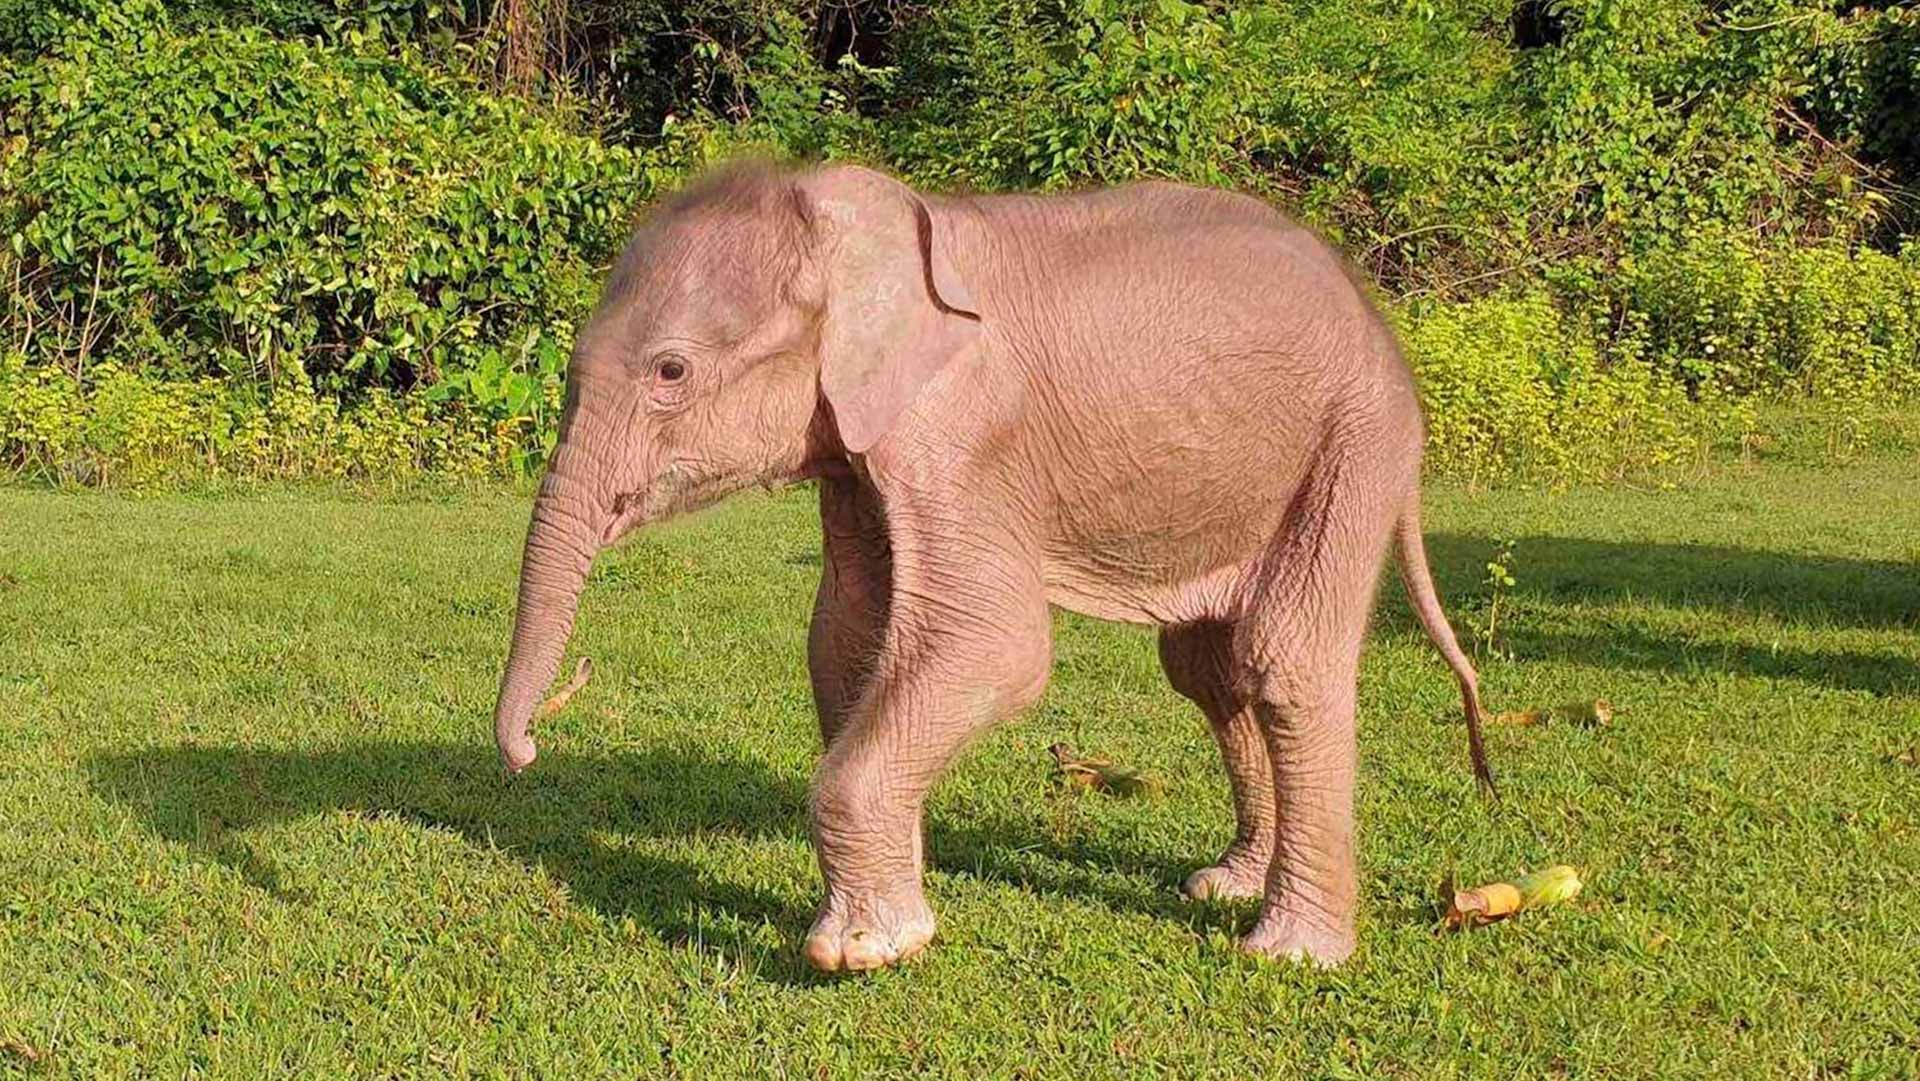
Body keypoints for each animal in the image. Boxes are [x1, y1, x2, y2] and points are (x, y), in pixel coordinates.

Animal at [490, 159, 1493, 973]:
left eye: (670, 372)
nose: (529, 751)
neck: (852, 215)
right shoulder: (861, 447)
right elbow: (847, 637)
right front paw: (891, 907)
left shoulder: (966, 435)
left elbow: (993, 644)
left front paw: (863, 950)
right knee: (1208, 667)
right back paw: (1227, 884)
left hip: (1355, 440)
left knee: (1285, 658)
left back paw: (1292, 950)